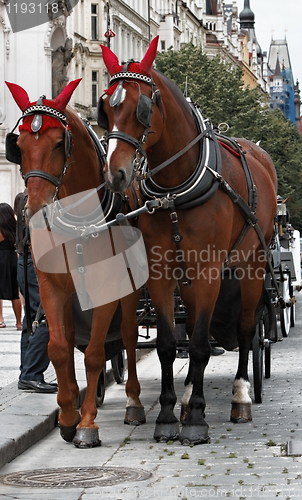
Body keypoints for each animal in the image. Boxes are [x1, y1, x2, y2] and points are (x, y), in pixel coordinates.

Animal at [5, 81, 146, 450]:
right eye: (19, 146)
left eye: (59, 143)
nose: (35, 208)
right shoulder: (52, 287)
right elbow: (58, 349)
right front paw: (68, 417)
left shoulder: (107, 288)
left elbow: (95, 353)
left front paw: (86, 424)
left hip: (129, 294)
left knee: (128, 336)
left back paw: (134, 403)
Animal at [99, 38, 278, 446]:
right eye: (107, 107)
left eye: (142, 108)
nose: (115, 174)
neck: (175, 190)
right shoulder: (161, 272)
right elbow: (169, 344)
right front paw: (168, 415)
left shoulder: (210, 270)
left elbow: (198, 344)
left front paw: (196, 419)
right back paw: (184, 399)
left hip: (251, 266)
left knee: (246, 330)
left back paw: (240, 397)